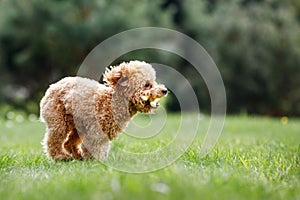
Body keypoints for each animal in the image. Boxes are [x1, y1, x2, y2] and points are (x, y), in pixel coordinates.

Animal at [39, 61, 168, 161]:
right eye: (147, 84)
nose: (165, 90)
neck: (111, 102)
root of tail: (53, 85)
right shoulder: (96, 132)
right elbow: (95, 147)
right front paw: (95, 162)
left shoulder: (103, 133)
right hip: (58, 121)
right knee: (52, 141)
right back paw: (61, 157)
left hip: (78, 125)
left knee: (68, 143)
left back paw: (78, 156)